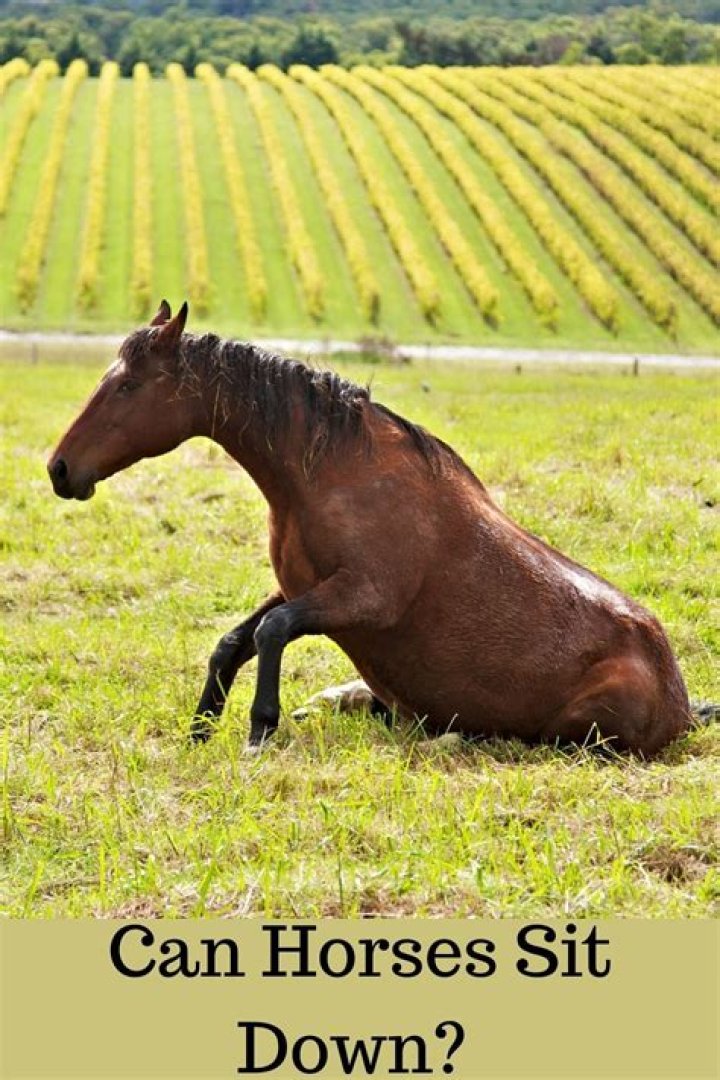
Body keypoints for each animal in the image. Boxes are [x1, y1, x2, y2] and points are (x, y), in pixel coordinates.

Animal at [47, 301, 692, 756]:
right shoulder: (301, 585)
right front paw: (200, 730)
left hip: (584, 731)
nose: (59, 469)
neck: (334, 476)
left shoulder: (365, 598)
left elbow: (272, 633)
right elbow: (234, 641)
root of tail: (681, 707)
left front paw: (259, 732)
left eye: (129, 385)